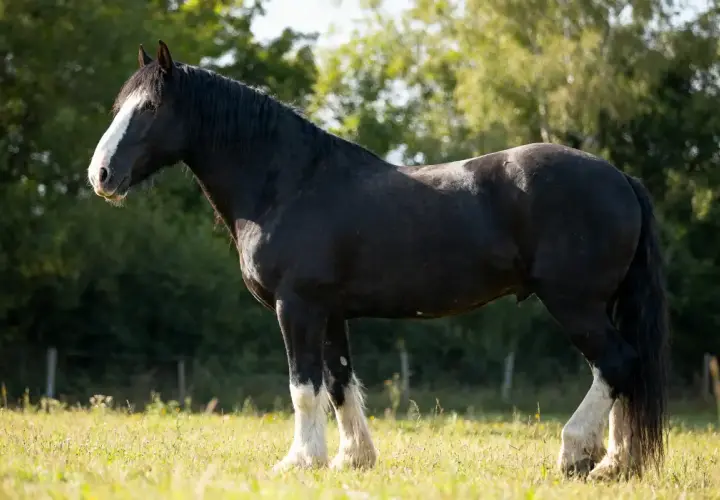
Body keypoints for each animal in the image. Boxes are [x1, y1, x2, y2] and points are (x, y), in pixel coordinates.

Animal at [87, 40, 669, 480]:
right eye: (120, 106)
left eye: (150, 108)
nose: (101, 175)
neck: (289, 184)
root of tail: (620, 178)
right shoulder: (330, 313)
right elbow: (340, 382)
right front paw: (352, 459)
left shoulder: (297, 307)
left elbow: (304, 387)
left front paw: (300, 461)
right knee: (625, 373)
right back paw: (616, 463)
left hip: (574, 303)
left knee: (616, 364)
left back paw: (579, 456)